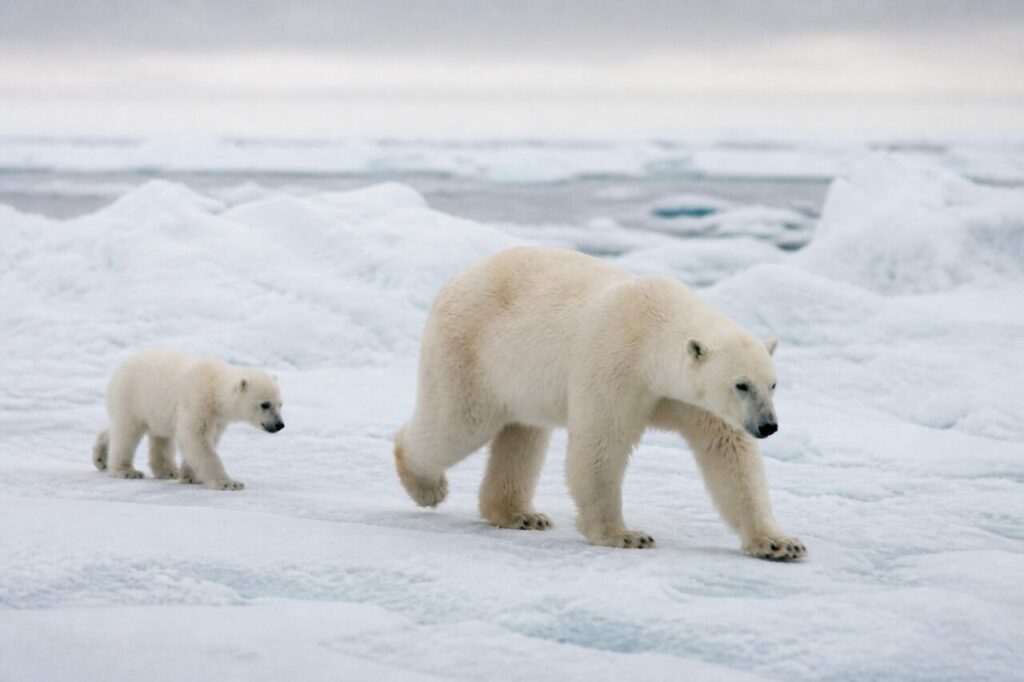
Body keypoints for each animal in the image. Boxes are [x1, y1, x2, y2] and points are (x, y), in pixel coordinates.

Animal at [92, 349, 285, 490]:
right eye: (265, 404)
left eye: (280, 404)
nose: (279, 425)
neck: (214, 387)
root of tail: (118, 369)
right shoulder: (197, 402)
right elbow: (195, 437)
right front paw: (228, 483)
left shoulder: (217, 418)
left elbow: (206, 439)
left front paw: (191, 476)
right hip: (132, 397)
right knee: (127, 432)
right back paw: (126, 471)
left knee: (158, 436)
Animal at [394, 246, 805, 560]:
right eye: (741, 385)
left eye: (772, 384)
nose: (768, 426)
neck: (652, 329)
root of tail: (455, 280)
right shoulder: (614, 366)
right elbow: (600, 446)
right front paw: (625, 535)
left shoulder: (692, 401)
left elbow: (729, 454)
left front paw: (779, 543)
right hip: (471, 351)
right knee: (458, 422)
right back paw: (426, 485)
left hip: (522, 381)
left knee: (524, 435)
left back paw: (520, 514)